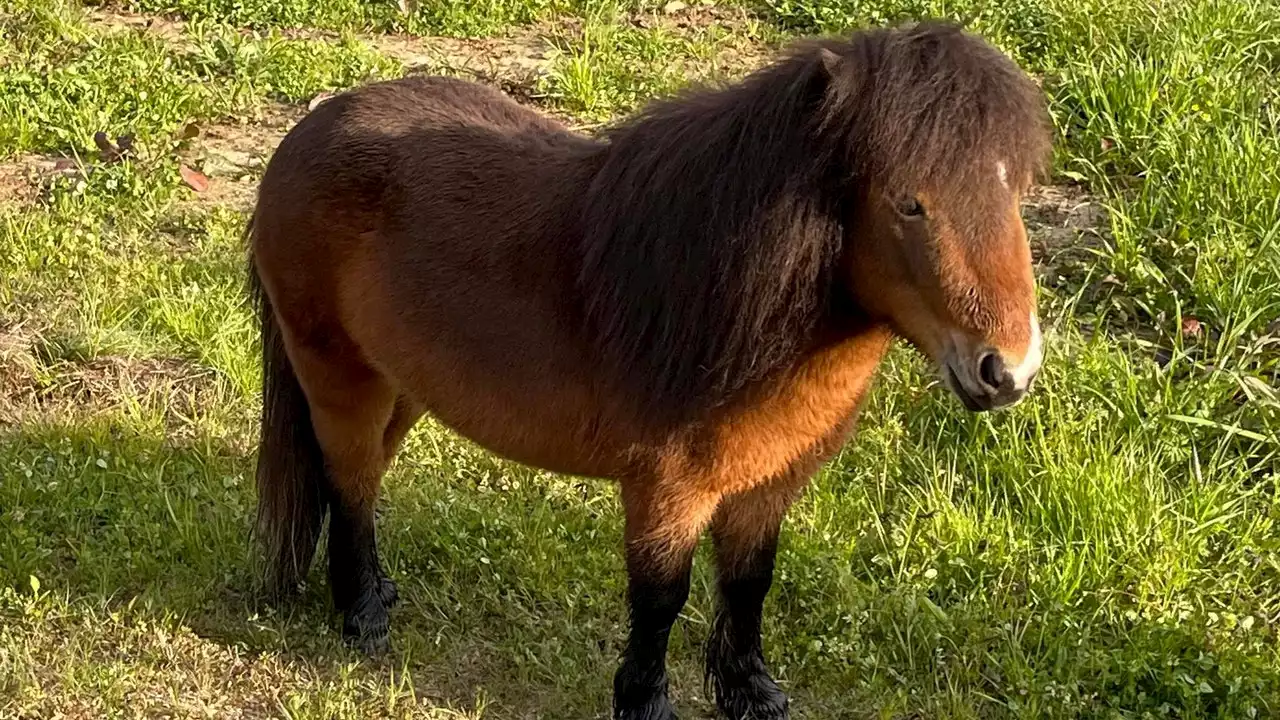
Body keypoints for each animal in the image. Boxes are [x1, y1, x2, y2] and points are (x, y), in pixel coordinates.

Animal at [247, 20, 1049, 717]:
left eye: (1014, 191)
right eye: (910, 204)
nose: (1007, 370)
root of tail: (305, 135)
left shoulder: (768, 484)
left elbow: (750, 582)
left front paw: (750, 692)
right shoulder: (666, 489)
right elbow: (661, 599)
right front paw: (645, 702)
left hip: (401, 384)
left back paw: (377, 591)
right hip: (339, 376)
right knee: (351, 481)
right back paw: (361, 615)